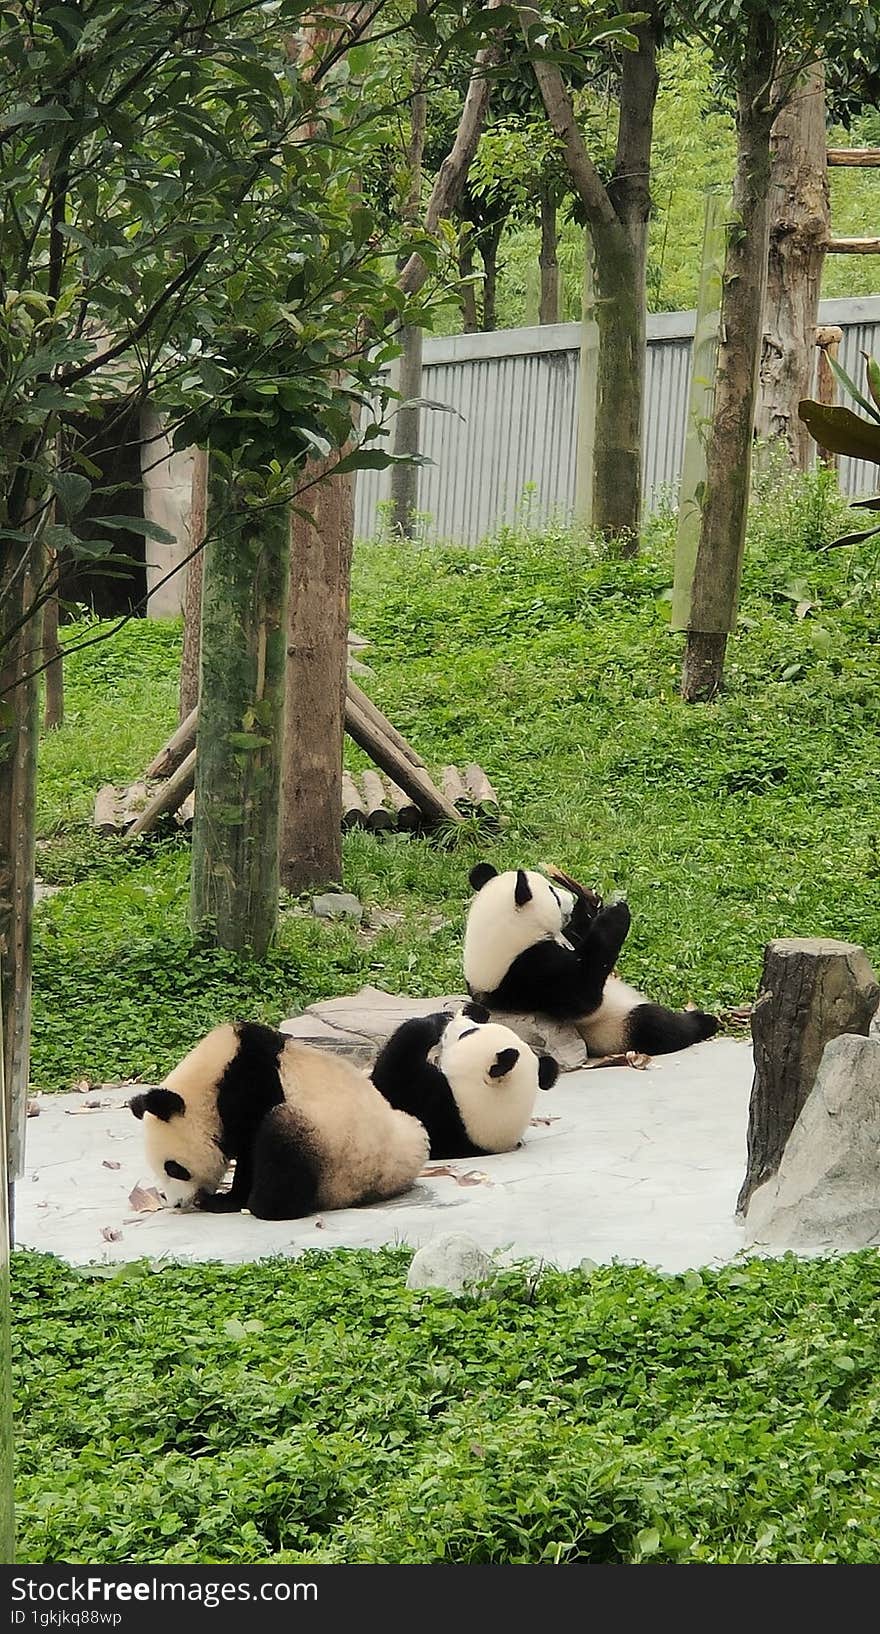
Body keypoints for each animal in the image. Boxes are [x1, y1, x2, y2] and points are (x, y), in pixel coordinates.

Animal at [129, 1026, 431, 1222]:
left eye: (174, 1168)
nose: (177, 1202)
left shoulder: (251, 1088)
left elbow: (251, 1148)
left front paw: (226, 1200)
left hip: (335, 1157)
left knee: (282, 1139)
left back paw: (265, 1207)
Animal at [370, 993, 558, 1163]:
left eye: (467, 1033)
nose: (457, 1019)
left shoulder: (428, 1104)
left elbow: (394, 1069)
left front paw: (436, 1021)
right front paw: (473, 1010)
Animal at [463, 869, 718, 1058]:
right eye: (553, 894)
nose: (568, 897)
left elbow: (577, 938)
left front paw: (588, 905)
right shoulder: (530, 974)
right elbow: (582, 994)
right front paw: (615, 913)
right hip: (612, 1029)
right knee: (654, 1025)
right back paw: (703, 1021)